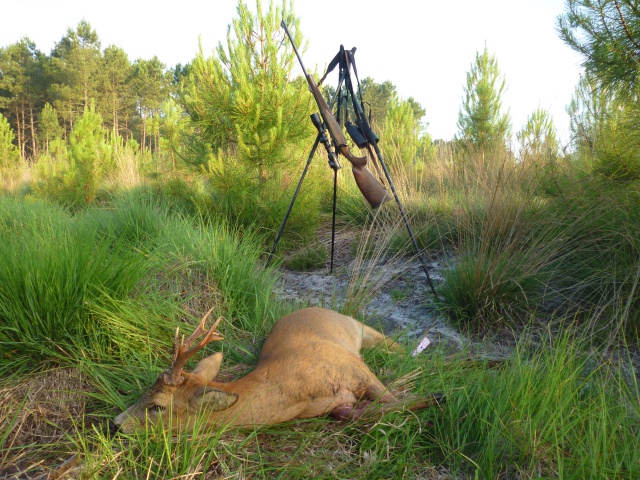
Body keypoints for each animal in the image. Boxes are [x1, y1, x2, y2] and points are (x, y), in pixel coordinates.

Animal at [112, 308, 442, 436]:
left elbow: (391, 400)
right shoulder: (336, 406)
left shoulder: (355, 368)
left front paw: (435, 398)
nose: (115, 424)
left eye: (157, 407)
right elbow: (358, 414)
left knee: (398, 347)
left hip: (356, 327)